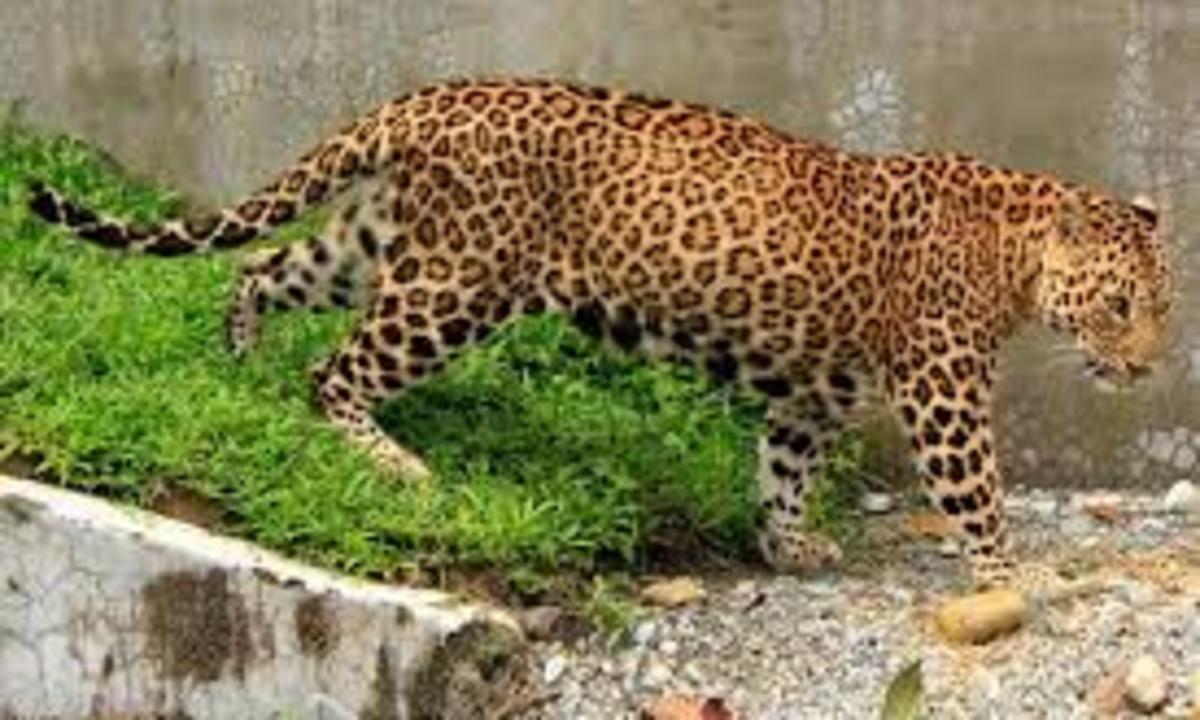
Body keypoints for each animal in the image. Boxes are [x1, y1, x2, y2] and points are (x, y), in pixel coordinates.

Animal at [24, 77, 1172, 586]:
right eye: (1121, 307)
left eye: (1163, 309)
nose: (1148, 367)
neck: (1016, 255)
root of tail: (428, 96)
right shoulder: (941, 391)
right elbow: (976, 488)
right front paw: (1011, 573)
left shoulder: (815, 393)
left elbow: (783, 464)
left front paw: (786, 543)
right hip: (456, 283)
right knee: (338, 370)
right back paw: (391, 464)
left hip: (375, 241)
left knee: (260, 269)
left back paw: (236, 366)